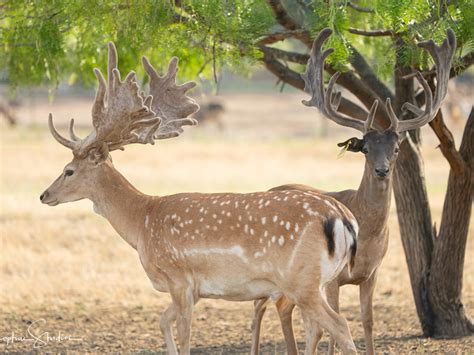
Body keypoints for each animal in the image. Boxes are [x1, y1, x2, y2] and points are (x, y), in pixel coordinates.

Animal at [40, 41, 360, 354]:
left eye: (68, 170)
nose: (44, 195)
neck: (142, 222)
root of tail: (343, 218)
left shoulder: (180, 278)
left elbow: (185, 336)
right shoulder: (191, 291)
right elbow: (162, 322)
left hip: (301, 280)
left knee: (340, 325)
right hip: (319, 281)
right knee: (319, 327)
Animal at [252, 27, 456, 355]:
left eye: (396, 148)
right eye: (365, 149)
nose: (382, 170)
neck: (367, 231)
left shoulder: (372, 273)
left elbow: (367, 320)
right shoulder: (333, 279)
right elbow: (334, 327)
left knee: (284, 306)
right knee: (259, 307)